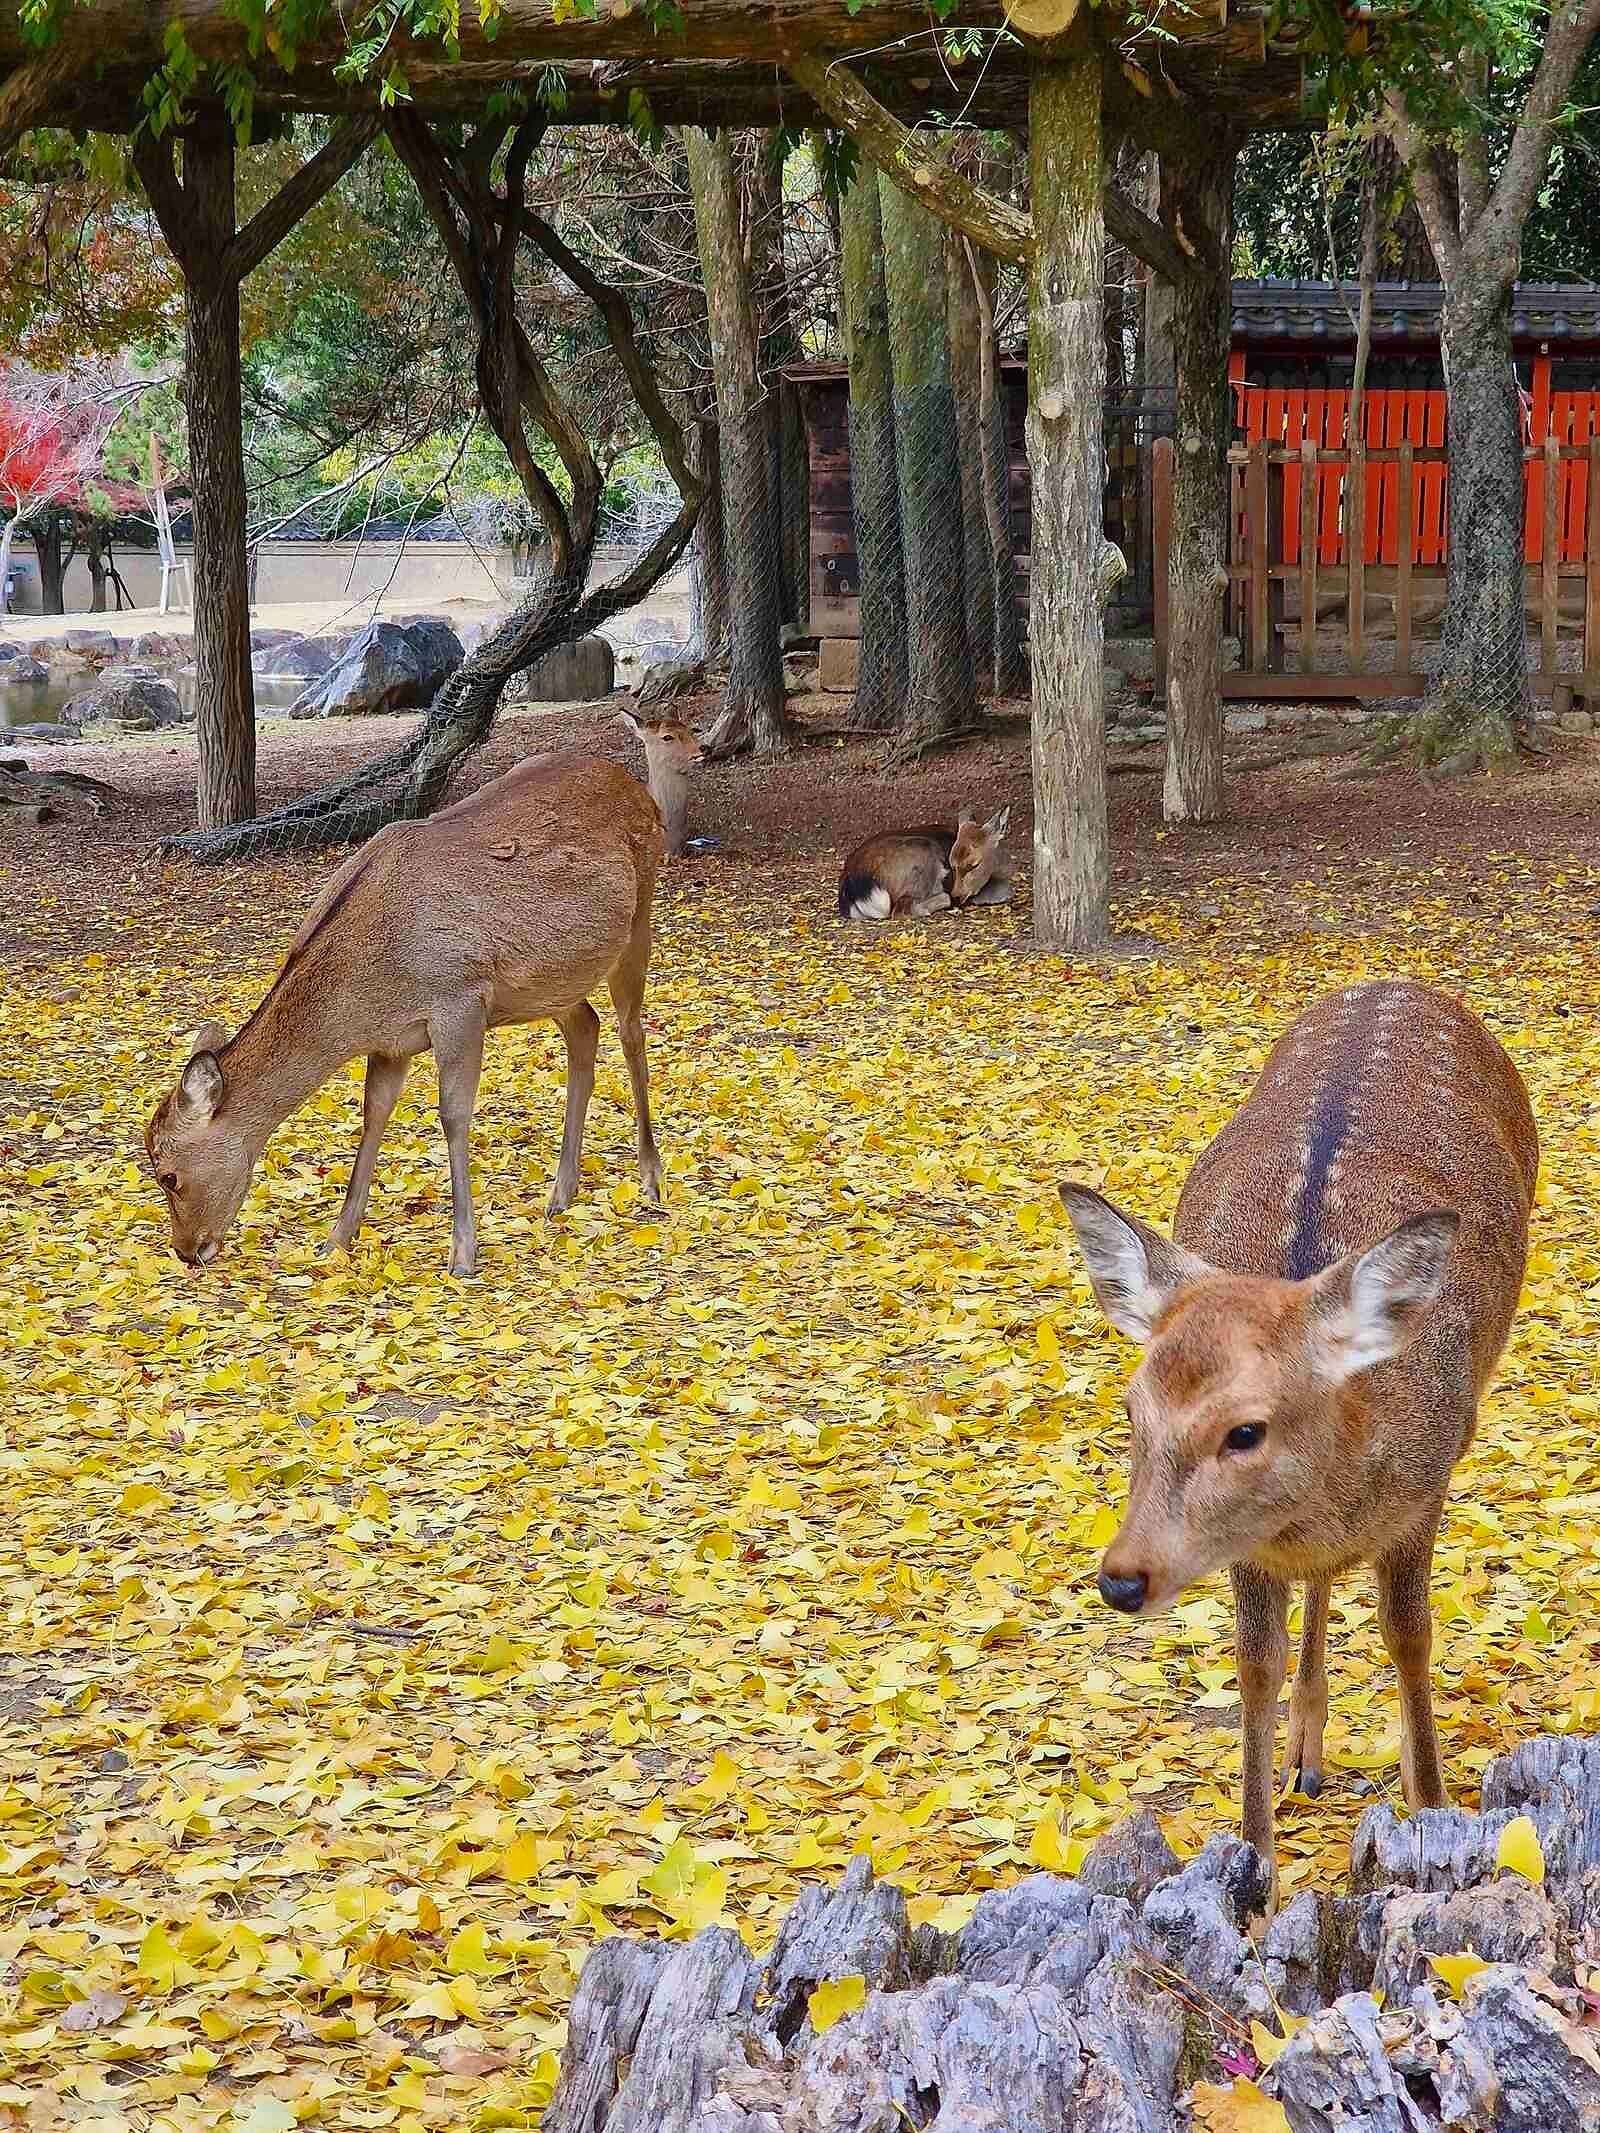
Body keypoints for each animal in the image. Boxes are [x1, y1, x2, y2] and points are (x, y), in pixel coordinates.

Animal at [139, 755, 665, 1271]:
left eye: (168, 1175)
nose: (186, 1251)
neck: (364, 999)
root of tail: (642, 791)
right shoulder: (392, 1041)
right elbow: (373, 1116)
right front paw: (335, 1241)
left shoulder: (459, 1000)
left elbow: (453, 1114)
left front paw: (462, 1252)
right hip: (553, 981)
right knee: (586, 1026)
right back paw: (560, 1193)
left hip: (640, 912)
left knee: (630, 1032)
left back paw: (650, 1177)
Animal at [1066, 981, 1544, 1902]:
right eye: (1132, 1409)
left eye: (1245, 1429)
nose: (1122, 1577)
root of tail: (1396, 981)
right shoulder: (1251, 1547)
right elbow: (1254, 1663)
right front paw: (1256, 1881)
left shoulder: (1431, 1478)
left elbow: (1409, 1635)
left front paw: (1431, 1801)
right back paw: (1305, 1751)